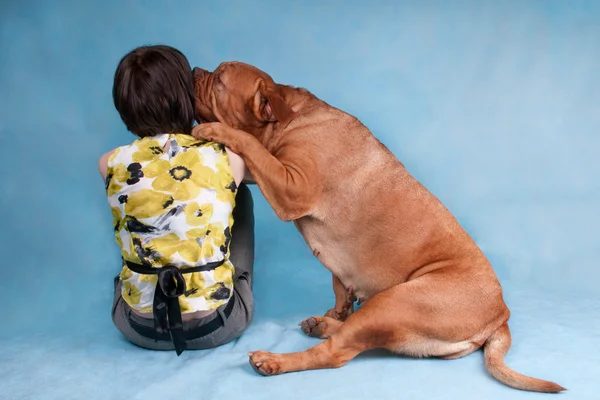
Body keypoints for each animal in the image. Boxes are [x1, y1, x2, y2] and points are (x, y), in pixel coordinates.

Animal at [191, 61, 564, 392]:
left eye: (220, 80)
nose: (196, 71)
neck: (288, 117)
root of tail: (501, 315)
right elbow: (340, 286)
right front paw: (338, 309)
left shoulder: (291, 186)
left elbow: (250, 144)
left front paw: (216, 131)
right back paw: (323, 324)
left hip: (392, 303)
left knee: (335, 353)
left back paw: (274, 360)